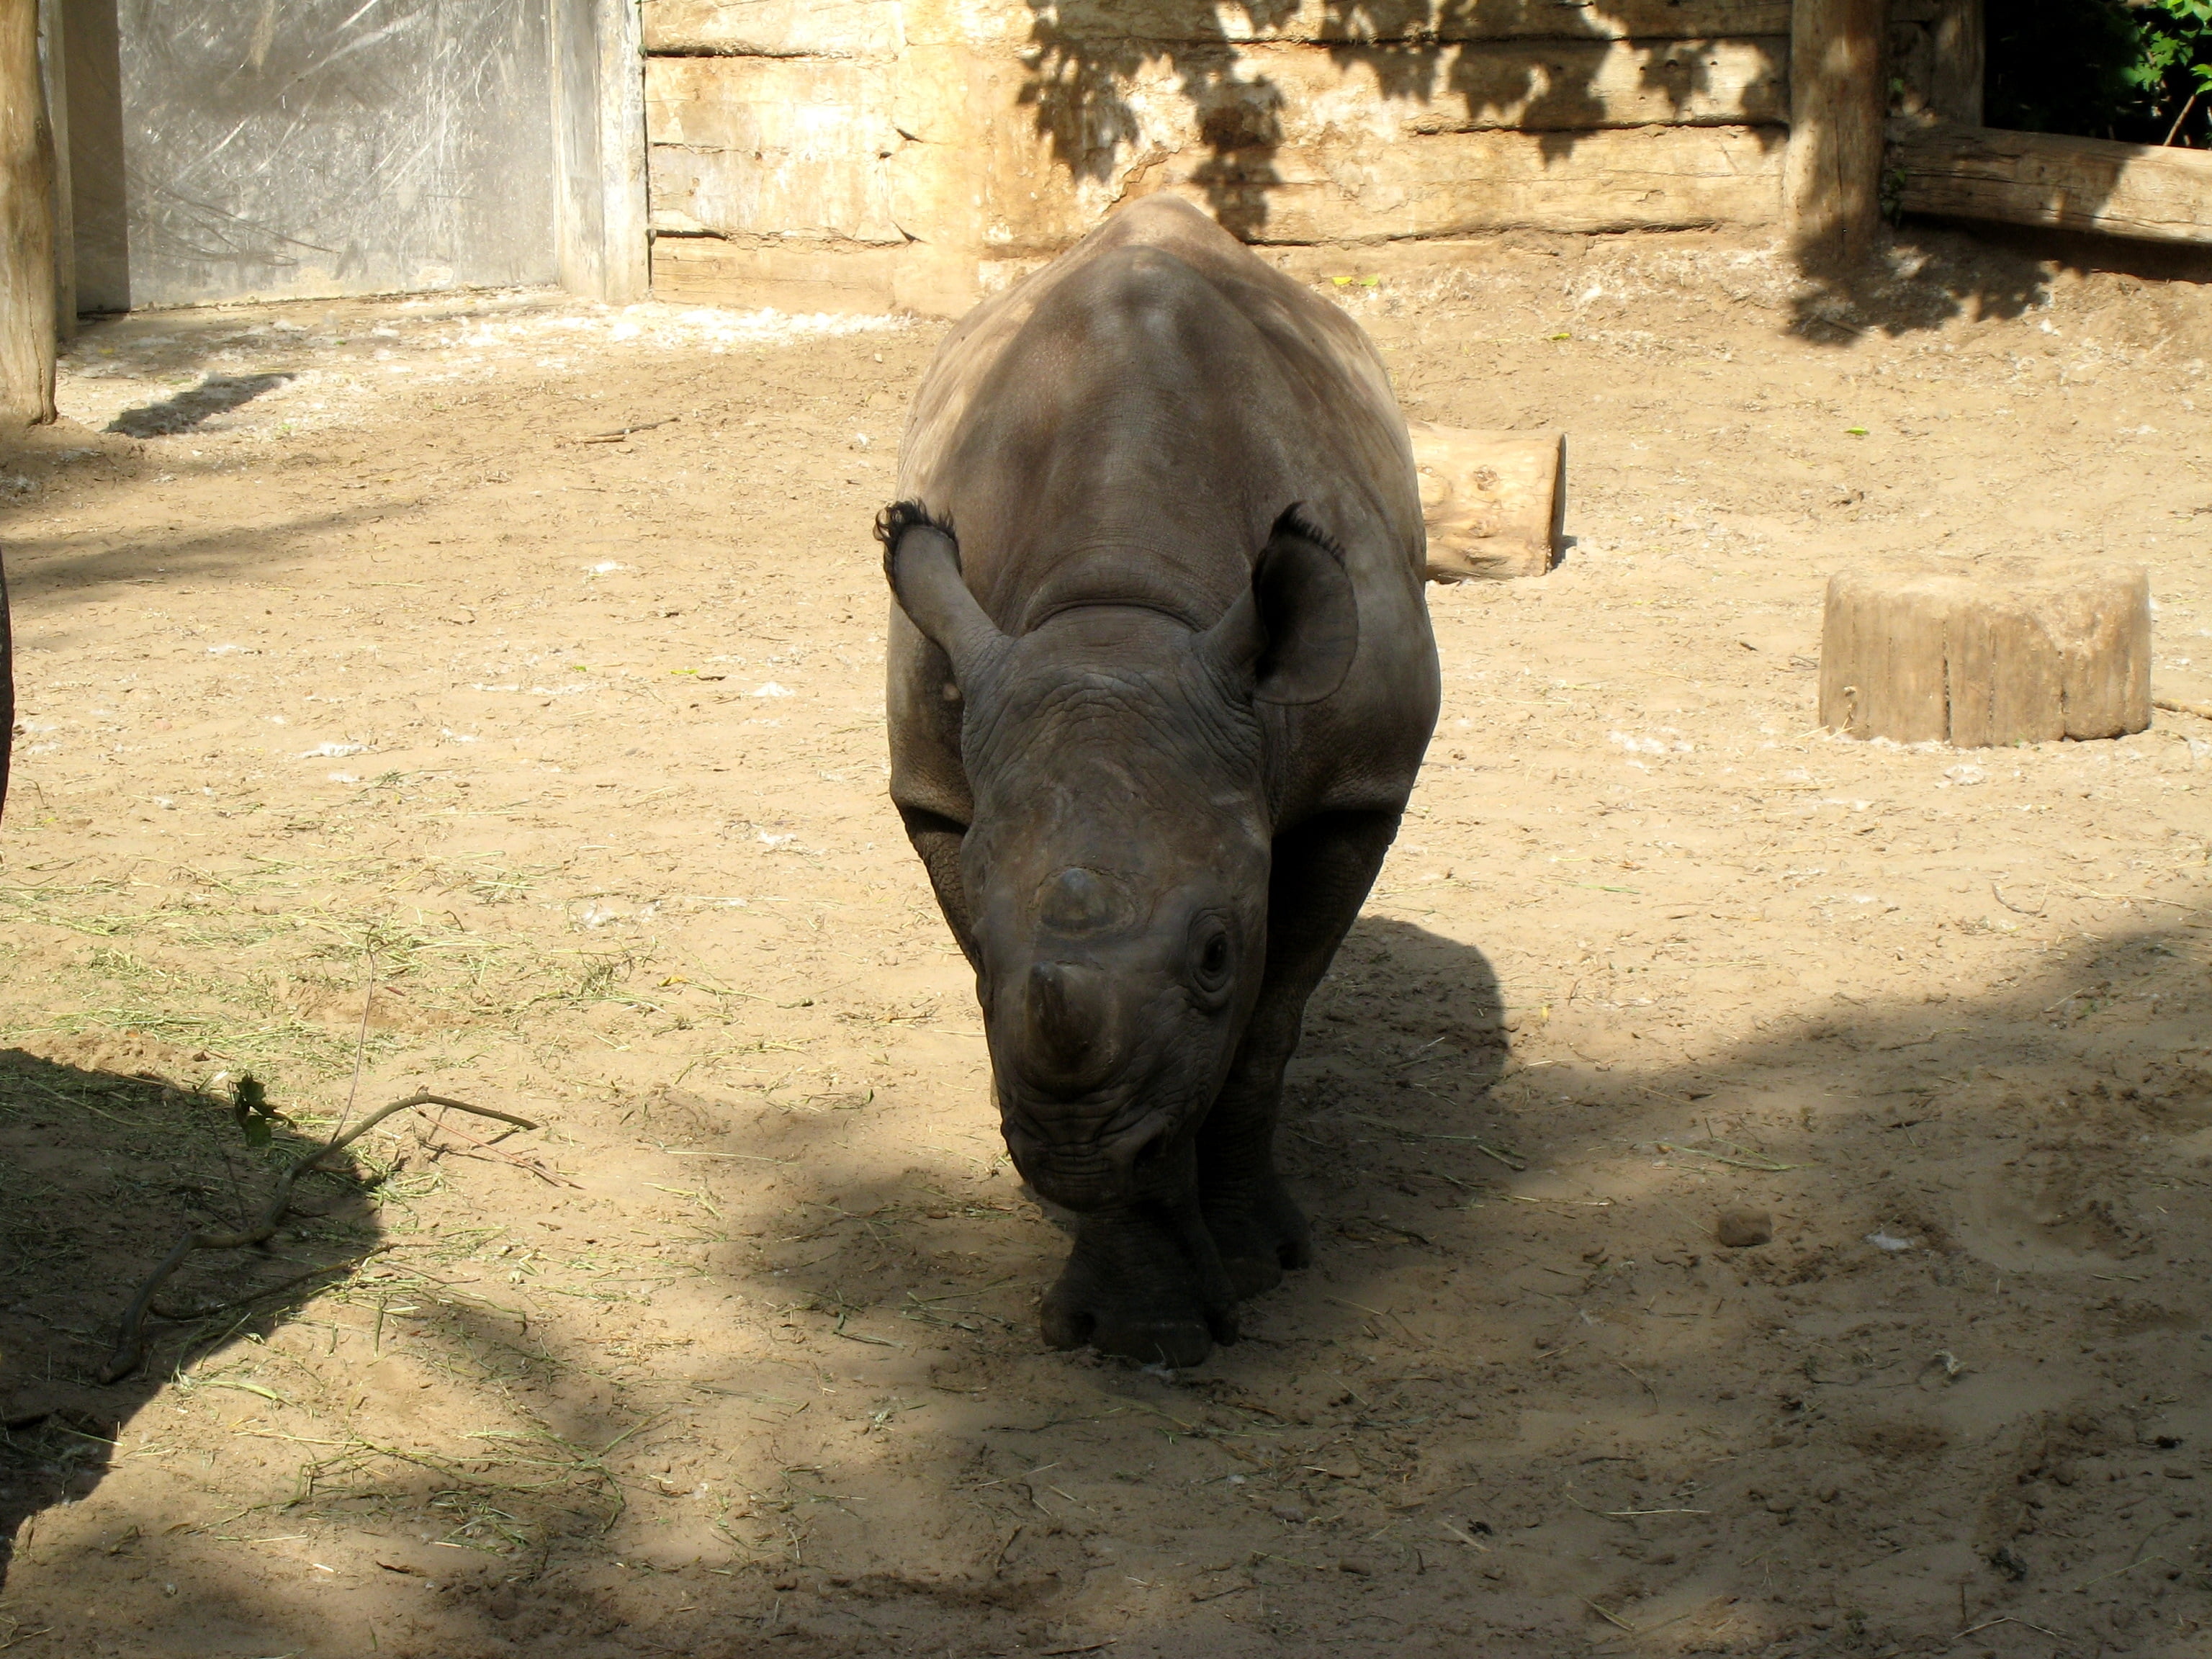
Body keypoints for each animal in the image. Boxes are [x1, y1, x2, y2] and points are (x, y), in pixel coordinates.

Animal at [880, 195, 1439, 1367]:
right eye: (986, 944)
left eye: (1217, 952)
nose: (1074, 1157)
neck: (1120, 619)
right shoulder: (937, 792)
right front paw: (1140, 1327)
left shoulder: (1359, 788)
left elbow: (1266, 1028)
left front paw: (1260, 1269)